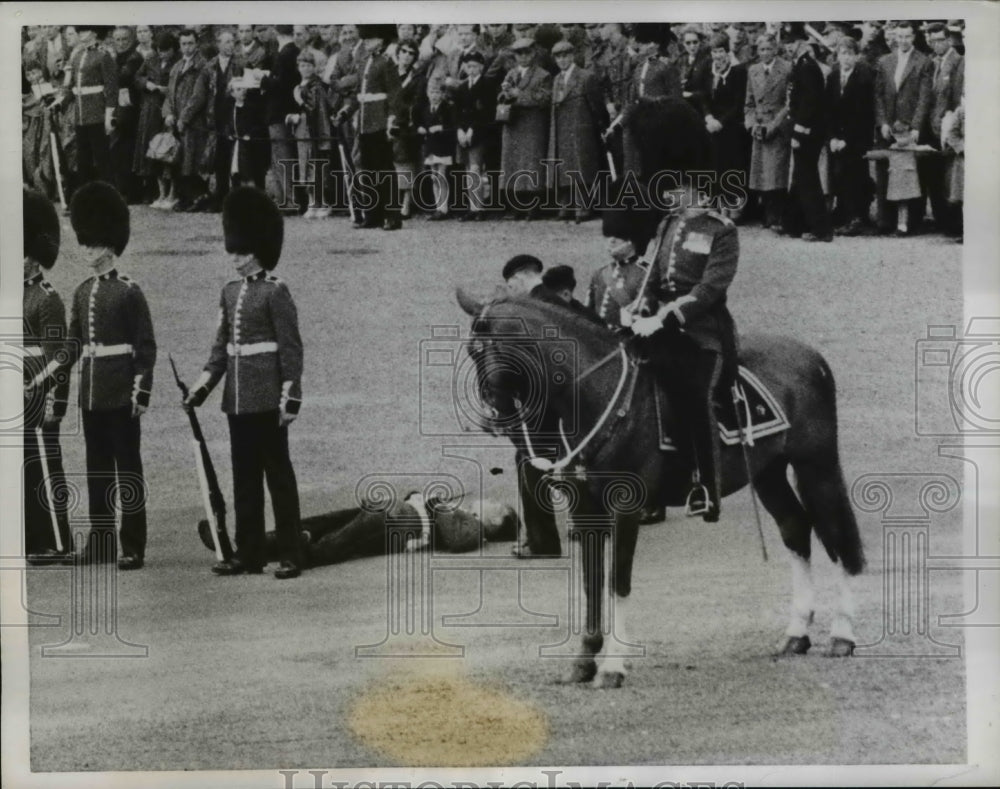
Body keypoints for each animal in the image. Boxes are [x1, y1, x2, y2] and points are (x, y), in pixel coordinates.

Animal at [458, 292, 864, 688]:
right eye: (472, 351)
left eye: (497, 347)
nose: (494, 417)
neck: (595, 392)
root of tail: (810, 356)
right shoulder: (585, 509)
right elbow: (591, 585)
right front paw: (583, 660)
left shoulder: (624, 506)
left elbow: (617, 581)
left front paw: (613, 666)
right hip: (769, 474)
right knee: (796, 529)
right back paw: (796, 634)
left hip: (817, 465)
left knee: (839, 538)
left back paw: (842, 635)